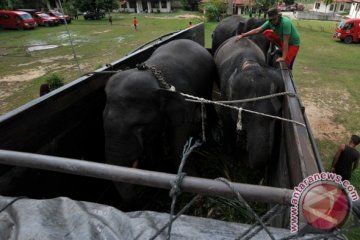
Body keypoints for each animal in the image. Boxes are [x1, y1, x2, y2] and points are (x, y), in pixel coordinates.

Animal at [102, 39, 218, 202]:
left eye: (139, 126)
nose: (138, 194)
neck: (154, 76)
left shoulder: (184, 101)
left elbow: (178, 142)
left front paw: (194, 187)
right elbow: (153, 141)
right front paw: (157, 170)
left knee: (207, 99)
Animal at [214, 36, 284, 170]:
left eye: (277, 114)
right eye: (245, 114)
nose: (246, 158)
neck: (251, 65)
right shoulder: (226, 94)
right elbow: (227, 119)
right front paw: (230, 162)